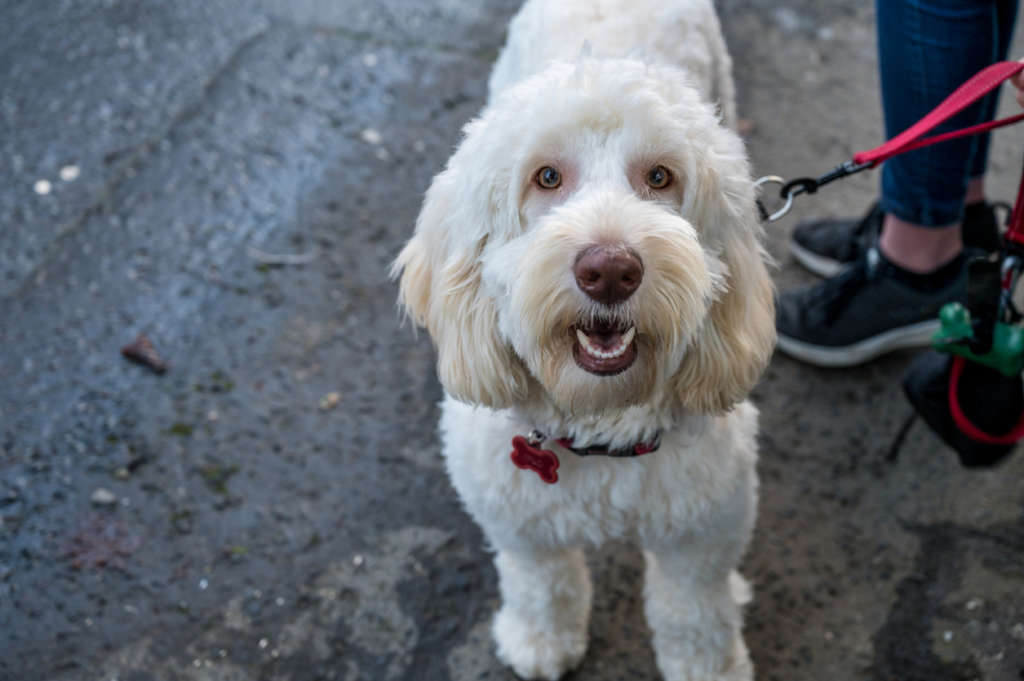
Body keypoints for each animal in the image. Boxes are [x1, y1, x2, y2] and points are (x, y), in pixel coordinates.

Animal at [393, 2, 774, 675]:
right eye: (546, 177)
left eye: (660, 176)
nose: (610, 270)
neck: (598, 428)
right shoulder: (516, 518)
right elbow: (540, 582)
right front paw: (540, 641)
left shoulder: (703, 528)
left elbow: (694, 611)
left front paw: (708, 668)